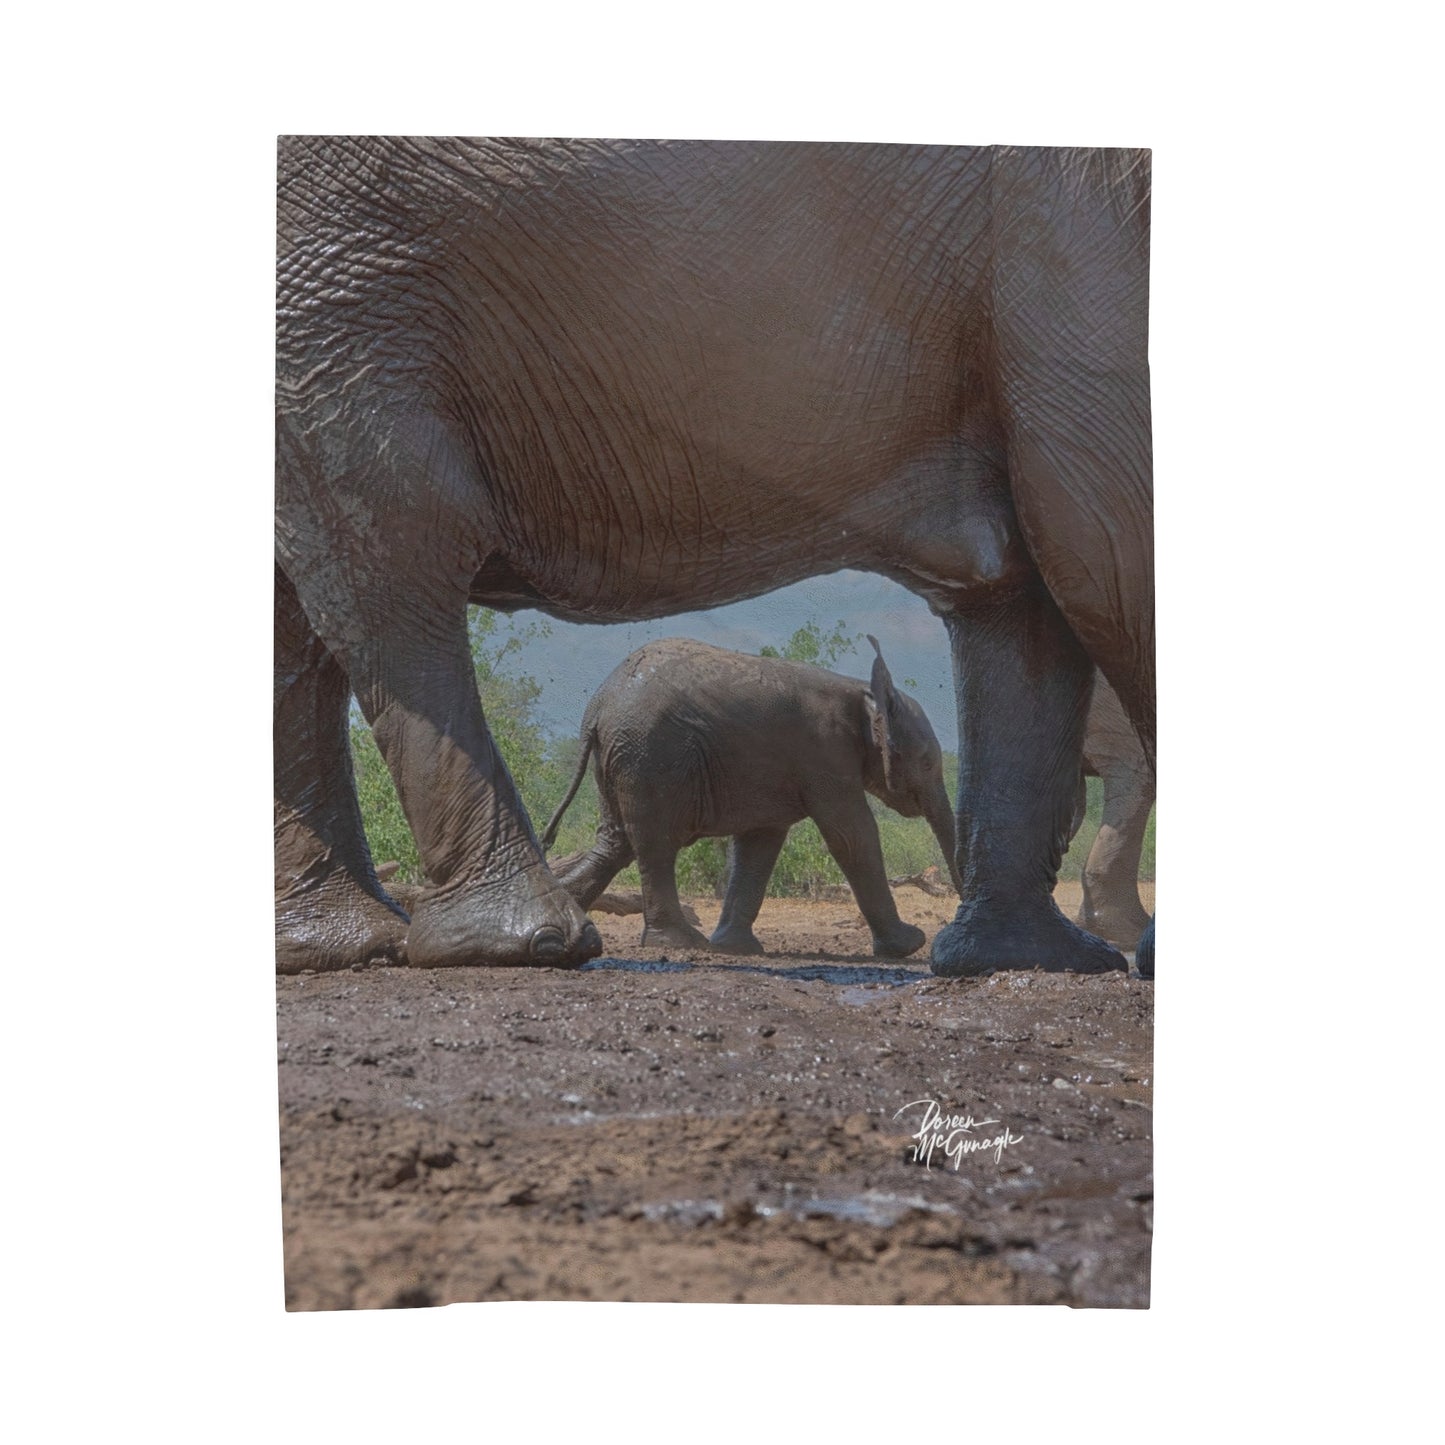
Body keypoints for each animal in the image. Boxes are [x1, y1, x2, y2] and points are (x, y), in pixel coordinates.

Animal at [539, 636, 962, 958]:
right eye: (927, 763)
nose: (947, 930)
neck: (864, 692)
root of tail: (597, 708)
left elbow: (759, 847)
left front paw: (736, 948)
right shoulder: (826, 757)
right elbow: (852, 836)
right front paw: (910, 945)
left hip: (621, 757)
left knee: (615, 844)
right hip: (651, 755)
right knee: (655, 844)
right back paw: (680, 943)